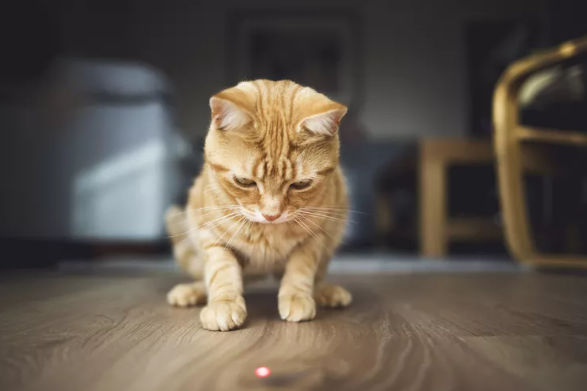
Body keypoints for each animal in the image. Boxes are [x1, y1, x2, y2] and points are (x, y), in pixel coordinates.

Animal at [165, 79, 352, 330]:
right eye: (244, 182)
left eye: (301, 184)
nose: (271, 214)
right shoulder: (210, 234)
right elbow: (221, 270)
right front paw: (224, 302)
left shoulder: (315, 236)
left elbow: (301, 268)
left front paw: (296, 296)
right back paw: (191, 291)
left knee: (318, 276)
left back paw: (325, 291)